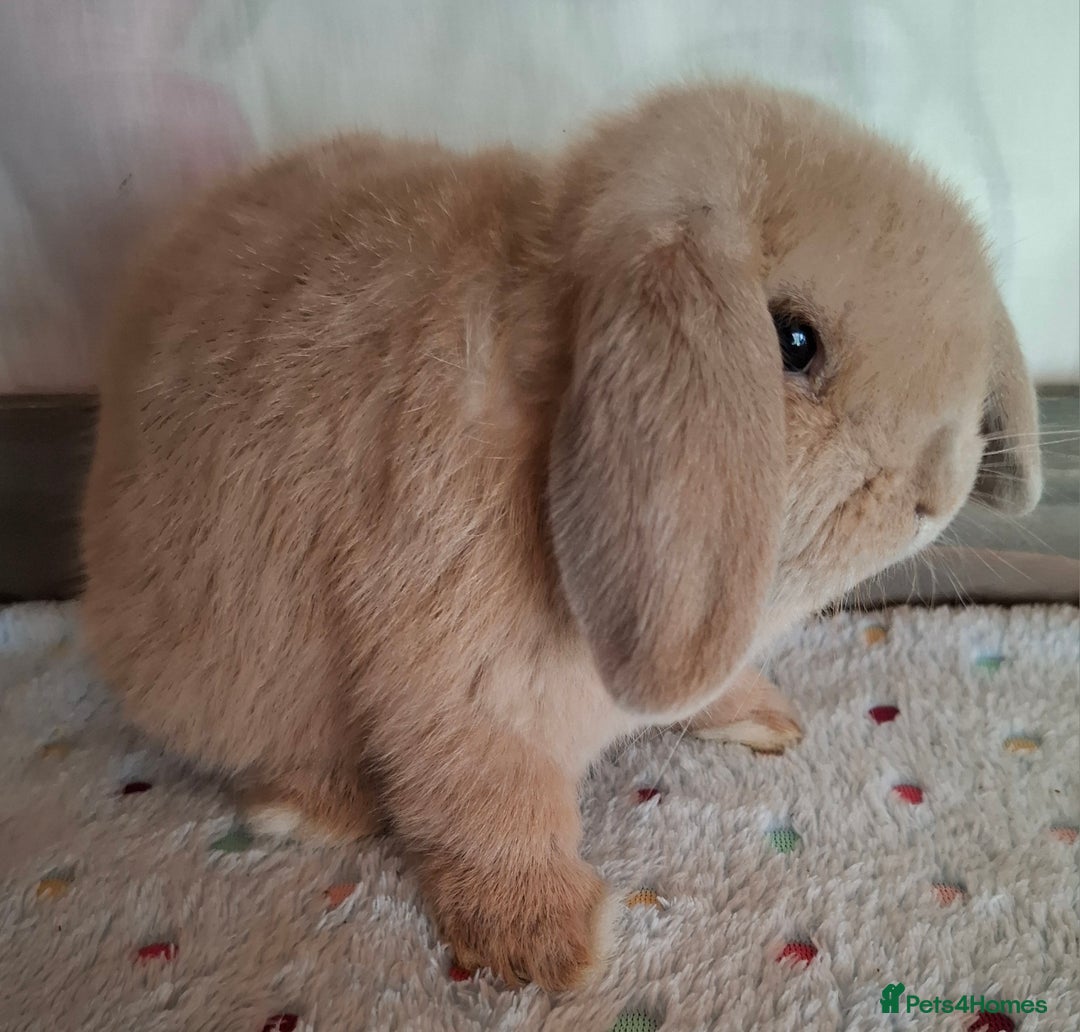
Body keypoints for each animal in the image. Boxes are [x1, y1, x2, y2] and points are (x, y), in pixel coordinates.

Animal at [80, 80, 1041, 991]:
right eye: (794, 341)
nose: (935, 492)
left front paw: (768, 720)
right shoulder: (463, 686)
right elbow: (495, 808)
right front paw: (550, 946)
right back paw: (311, 809)